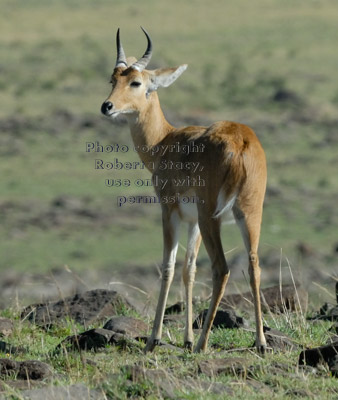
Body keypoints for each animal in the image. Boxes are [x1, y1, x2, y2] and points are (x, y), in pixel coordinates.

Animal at [100, 28, 266, 354]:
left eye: (136, 81)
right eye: (113, 79)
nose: (107, 106)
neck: (165, 141)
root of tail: (241, 141)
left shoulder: (171, 212)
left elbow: (168, 267)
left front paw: (155, 339)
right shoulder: (193, 223)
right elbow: (189, 270)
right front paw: (186, 337)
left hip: (212, 217)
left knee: (222, 268)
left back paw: (203, 344)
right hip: (248, 214)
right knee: (254, 266)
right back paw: (260, 342)